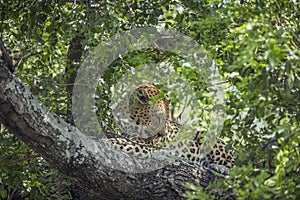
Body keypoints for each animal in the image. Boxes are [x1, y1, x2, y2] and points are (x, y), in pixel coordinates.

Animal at [106, 83, 236, 174]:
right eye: (157, 117)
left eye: (167, 116)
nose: (162, 135)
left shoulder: (146, 145)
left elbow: (119, 142)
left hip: (205, 135)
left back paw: (221, 167)